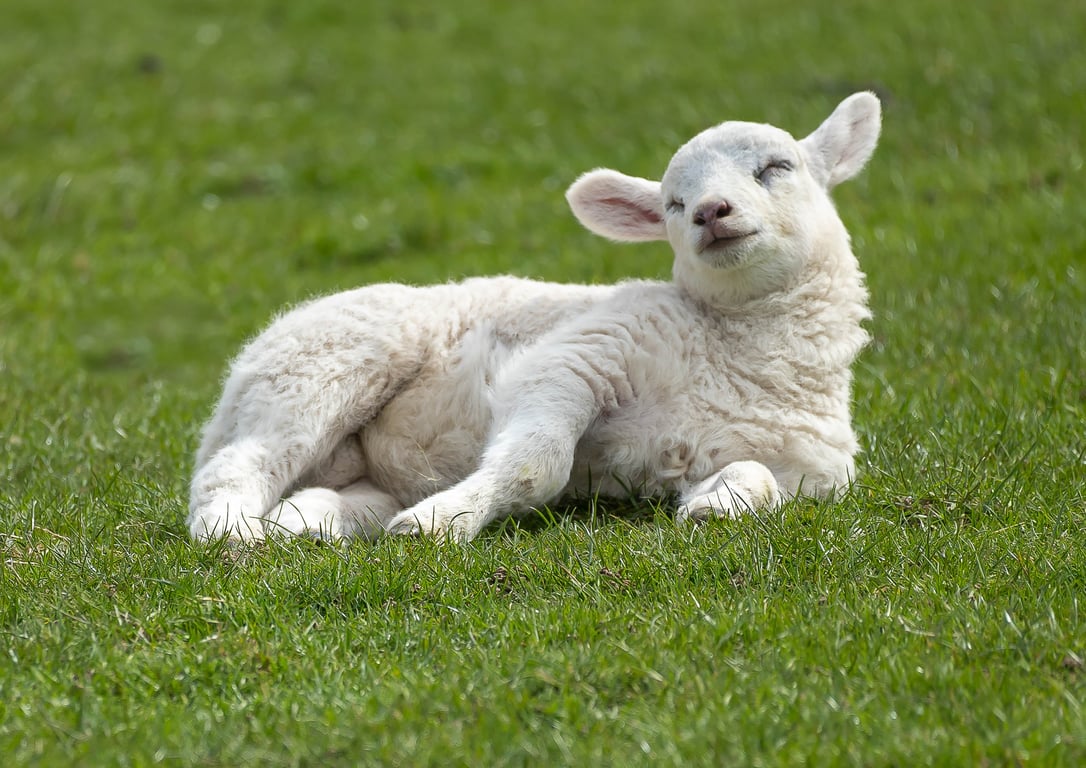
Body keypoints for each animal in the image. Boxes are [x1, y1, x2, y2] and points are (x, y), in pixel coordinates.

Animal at [187, 91, 882, 544]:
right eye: (672, 204)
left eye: (777, 167)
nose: (711, 212)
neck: (744, 351)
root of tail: (243, 368)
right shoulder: (586, 352)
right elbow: (533, 464)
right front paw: (438, 523)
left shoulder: (808, 475)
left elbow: (756, 479)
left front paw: (715, 509)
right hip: (318, 369)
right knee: (241, 462)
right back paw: (233, 534)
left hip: (355, 460)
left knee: (322, 494)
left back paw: (298, 524)